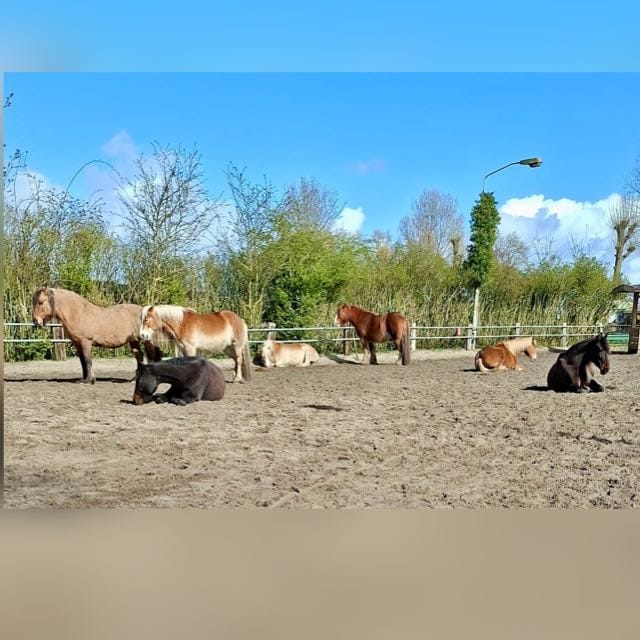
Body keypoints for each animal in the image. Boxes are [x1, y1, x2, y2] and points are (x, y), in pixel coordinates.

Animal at [31, 287, 162, 384]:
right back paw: (134, 379)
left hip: (146, 341)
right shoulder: (77, 343)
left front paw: (90, 380)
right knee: (139, 356)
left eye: (40, 302)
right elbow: (83, 362)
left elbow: (88, 360)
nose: (35, 321)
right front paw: (84, 379)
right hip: (134, 341)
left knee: (150, 356)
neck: (79, 313)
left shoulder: (86, 342)